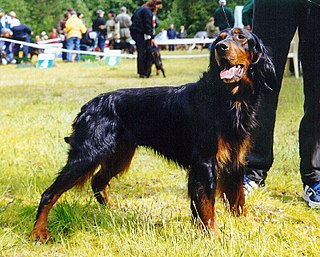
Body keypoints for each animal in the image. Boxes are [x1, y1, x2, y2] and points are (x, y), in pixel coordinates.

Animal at [31, 28, 276, 242]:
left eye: (241, 37)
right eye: (220, 39)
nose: (221, 47)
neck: (230, 98)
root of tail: (89, 106)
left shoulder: (235, 158)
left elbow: (237, 197)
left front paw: (246, 222)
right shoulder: (205, 161)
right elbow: (207, 204)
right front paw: (214, 236)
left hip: (119, 154)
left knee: (98, 181)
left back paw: (110, 210)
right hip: (88, 154)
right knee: (49, 193)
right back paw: (38, 233)